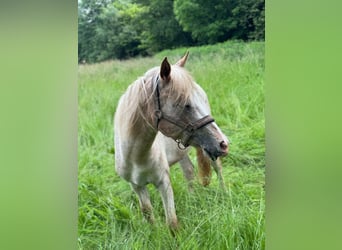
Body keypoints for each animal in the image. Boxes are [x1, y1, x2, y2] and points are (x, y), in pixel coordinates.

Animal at [115, 52, 230, 230]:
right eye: (186, 105)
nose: (223, 143)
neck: (137, 156)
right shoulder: (137, 186)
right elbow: (148, 214)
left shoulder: (164, 183)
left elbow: (172, 223)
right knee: (189, 171)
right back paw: (192, 198)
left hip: (206, 149)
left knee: (217, 168)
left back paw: (224, 194)